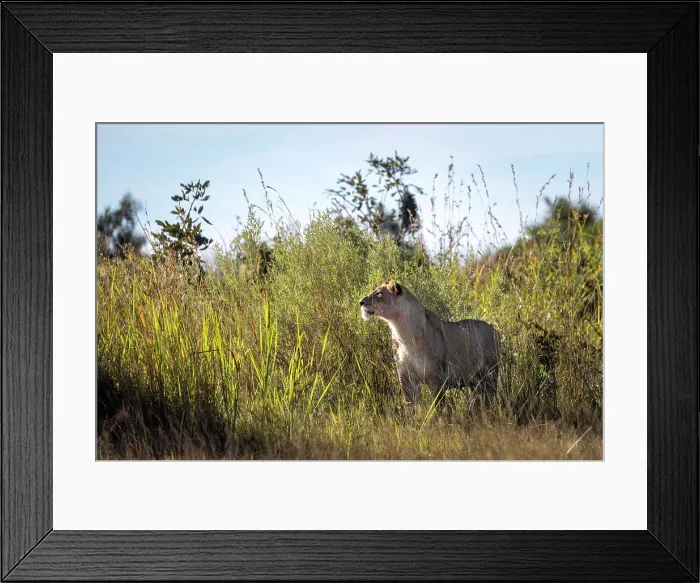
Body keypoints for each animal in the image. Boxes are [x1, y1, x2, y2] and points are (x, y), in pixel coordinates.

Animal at [359, 280, 502, 405]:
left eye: (379, 294)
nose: (361, 302)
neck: (403, 334)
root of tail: (495, 330)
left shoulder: (436, 379)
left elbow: (437, 408)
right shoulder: (406, 378)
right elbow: (411, 407)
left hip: (489, 375)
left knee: (490, 398)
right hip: (475, 381)